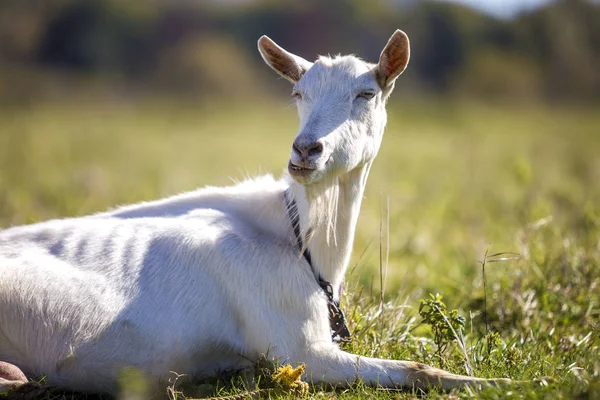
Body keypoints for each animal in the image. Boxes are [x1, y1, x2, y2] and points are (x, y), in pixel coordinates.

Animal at [0, 30, 510, 394]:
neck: (299, 238)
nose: (305, 150)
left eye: (367, 94)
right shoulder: (299, 345)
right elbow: (420, 368)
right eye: (298, 93)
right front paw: (499, 381)